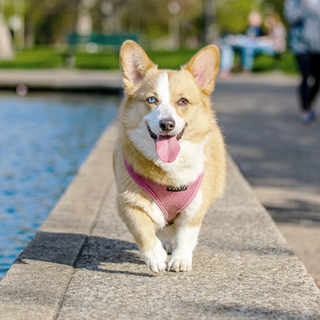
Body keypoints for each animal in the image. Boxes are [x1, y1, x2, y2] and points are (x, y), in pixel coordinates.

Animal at [114, 40, 226, 272]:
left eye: (183, 101)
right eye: (151, 99)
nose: (167, 124)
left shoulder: (196, 207)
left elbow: (185, 235)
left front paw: (180, 260)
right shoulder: (128, 203)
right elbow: (143, 231)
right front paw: (155, 257)